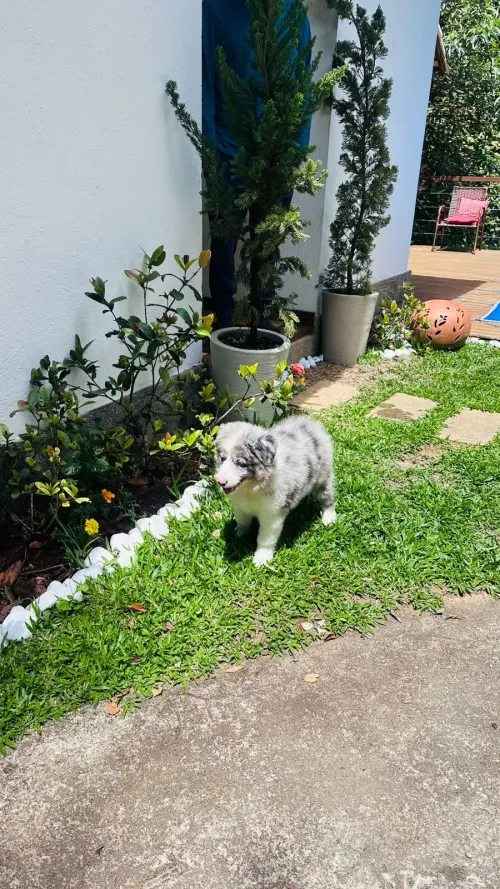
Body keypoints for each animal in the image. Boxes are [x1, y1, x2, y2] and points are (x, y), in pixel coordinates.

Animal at [214, 416, 336, 566]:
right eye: (222, 458)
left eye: (241, 463)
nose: (220, 482)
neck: (252, 487)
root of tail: (309, 421)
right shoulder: (240, 506)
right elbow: (242, 522)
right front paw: (238, 537)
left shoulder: (272, 515)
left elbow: (265, 538)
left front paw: (262, 558)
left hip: (323, 477)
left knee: (327, 498)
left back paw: (329, 518)